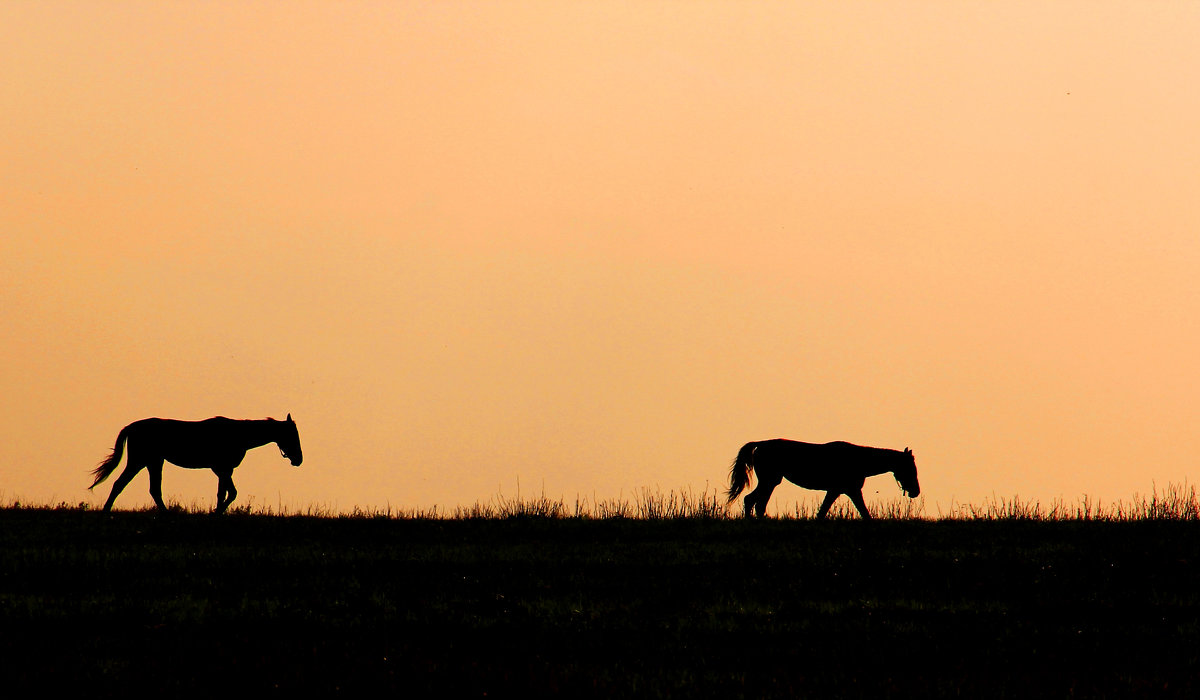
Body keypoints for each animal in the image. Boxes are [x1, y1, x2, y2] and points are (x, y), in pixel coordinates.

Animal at [88, 415, 302, 513]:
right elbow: (231, 493)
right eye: (292, 435)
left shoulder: (224, 470)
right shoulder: (221, 468)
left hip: (153, 462)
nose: (299, 459)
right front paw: (217, 512)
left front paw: (217, 512)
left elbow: (223, 493)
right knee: (120, 484)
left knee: (153, 490)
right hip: (139, 461)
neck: (238, 434)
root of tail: (131, 427)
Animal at [729, 437, 916, 521]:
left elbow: (823, 511)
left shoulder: (837, 490)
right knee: (753, 501)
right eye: (910, 469)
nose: (916, 491)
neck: (858, 460)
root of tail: (760, 443)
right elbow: (863, 512)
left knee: (754, 502)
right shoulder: (850, 490)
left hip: (770, 481)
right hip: (769, 481)